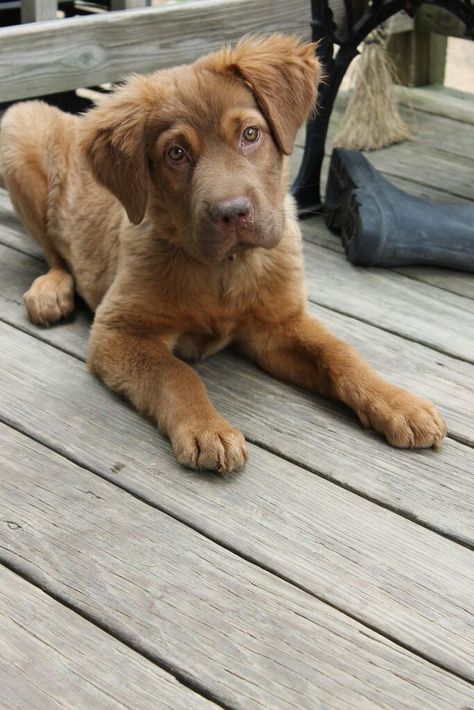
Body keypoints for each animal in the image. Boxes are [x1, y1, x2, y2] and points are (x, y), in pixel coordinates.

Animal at [0, 36, 446, 476]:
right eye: (176, 154)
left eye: (250, 133)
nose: (232, 213)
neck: (226, 268)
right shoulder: (119, 330)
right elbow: (174, 372)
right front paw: (206, 428)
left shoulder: (276, 326)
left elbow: (339, 353)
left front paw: (396, 402)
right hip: (18, 131)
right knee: (55, 254)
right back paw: (51, 291)